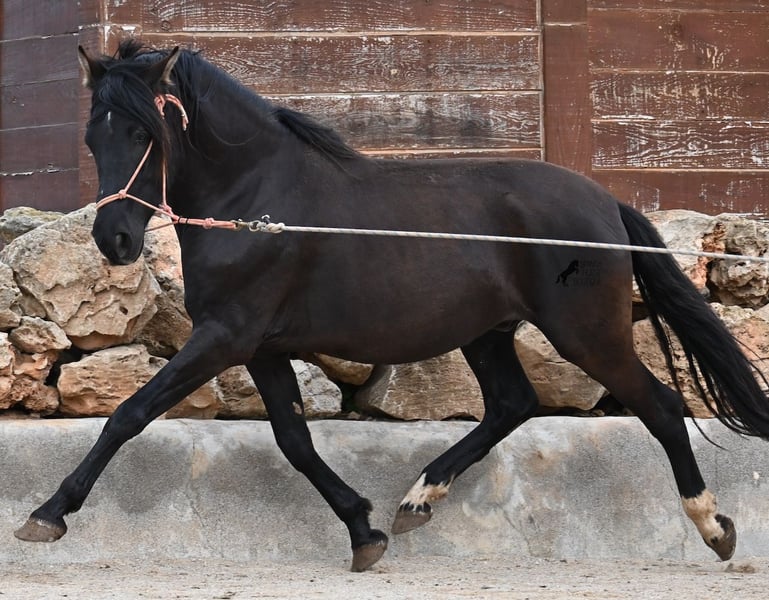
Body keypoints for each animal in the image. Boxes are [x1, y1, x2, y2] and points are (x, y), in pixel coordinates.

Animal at [14, 40, 769, 572]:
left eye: (146, 133)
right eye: (95, 135)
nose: (113, 240)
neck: (256, 199)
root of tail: (605, 203)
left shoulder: (225, 336)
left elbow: (128, 414)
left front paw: (47, 514)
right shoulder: (261, 347)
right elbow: (294, 441)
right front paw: (364, 529)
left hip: (585, 333)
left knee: (660, 408)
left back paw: (714, 527)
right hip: (487, 333)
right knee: (511, 404)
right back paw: (416, 500)